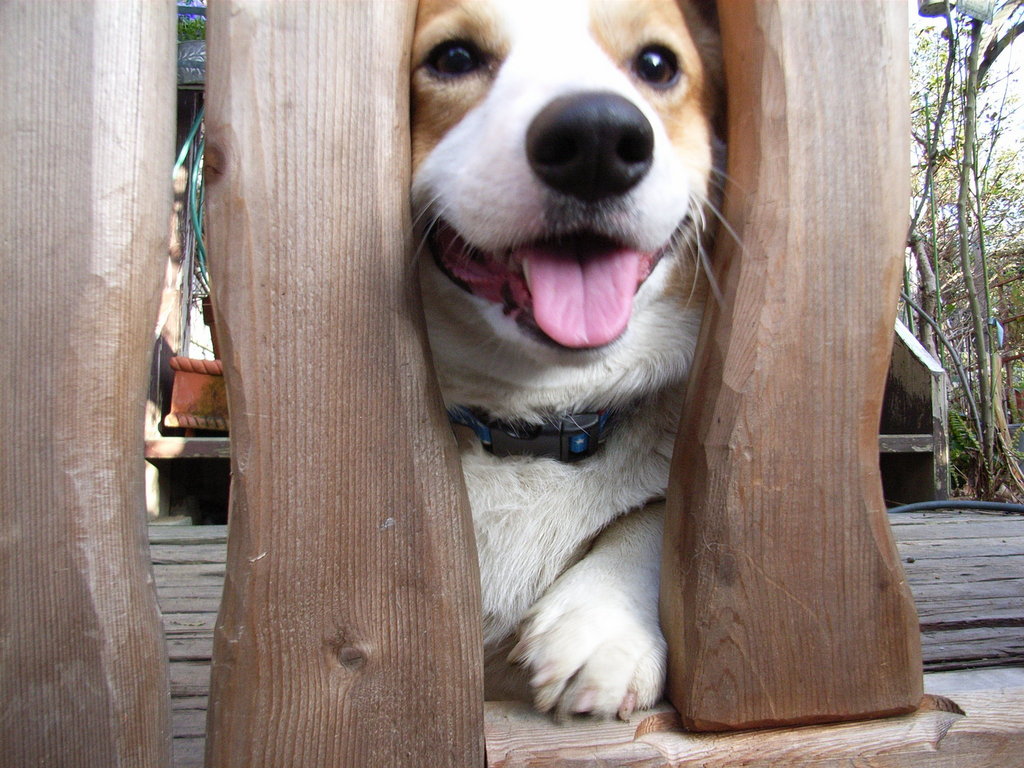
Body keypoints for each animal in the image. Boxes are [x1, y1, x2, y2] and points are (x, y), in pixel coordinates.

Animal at [410, 0, 722, 719]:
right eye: (454, 57)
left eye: (657, 64)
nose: (598, 141)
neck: (537, 422)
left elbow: (654, 518)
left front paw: (601, 622)